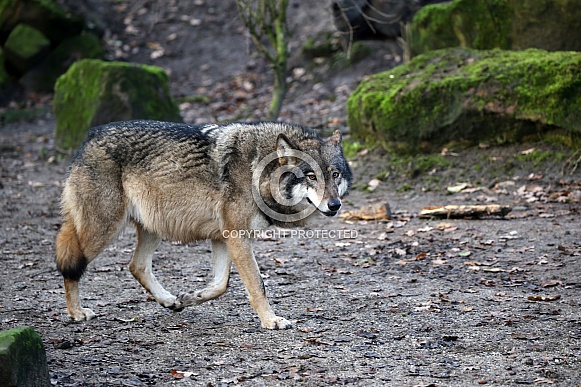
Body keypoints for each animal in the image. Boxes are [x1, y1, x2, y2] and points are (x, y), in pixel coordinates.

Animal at [56, 120, 352, 330]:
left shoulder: (223, 237)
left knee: (136, 266)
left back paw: (168, 300)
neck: (258, 171)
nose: (334, 205)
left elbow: (220, 285)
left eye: (335, 175)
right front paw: (272, 321)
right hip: (103, 230)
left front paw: (189, 298)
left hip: (152, 228)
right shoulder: (237, 237)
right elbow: (257, 285)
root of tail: (89, 138)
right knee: (72, 266)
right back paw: (76, 313)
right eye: (311, 176)